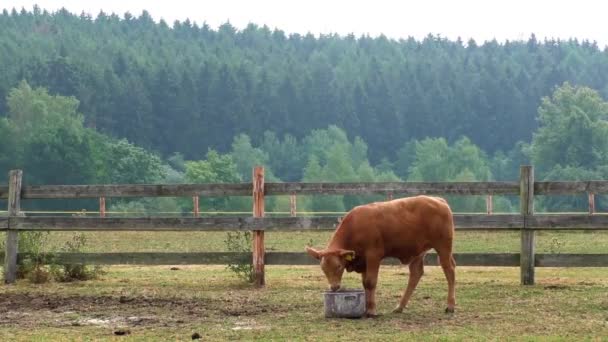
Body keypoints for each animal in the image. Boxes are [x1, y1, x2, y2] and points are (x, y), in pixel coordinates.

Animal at [304, 195, 456, 316]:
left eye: (339, 266)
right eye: (323, 269)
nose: (334, 287)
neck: (355, 226)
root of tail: (438, 200)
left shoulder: (373, 256)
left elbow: (370, 282)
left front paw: (371, 310)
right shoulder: (363, 261)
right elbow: (365, 284)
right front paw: (366, 308)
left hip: (443, 247)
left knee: (449, 271)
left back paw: (450, 306)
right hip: (418, 253)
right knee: (416, 274)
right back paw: (400, 307)